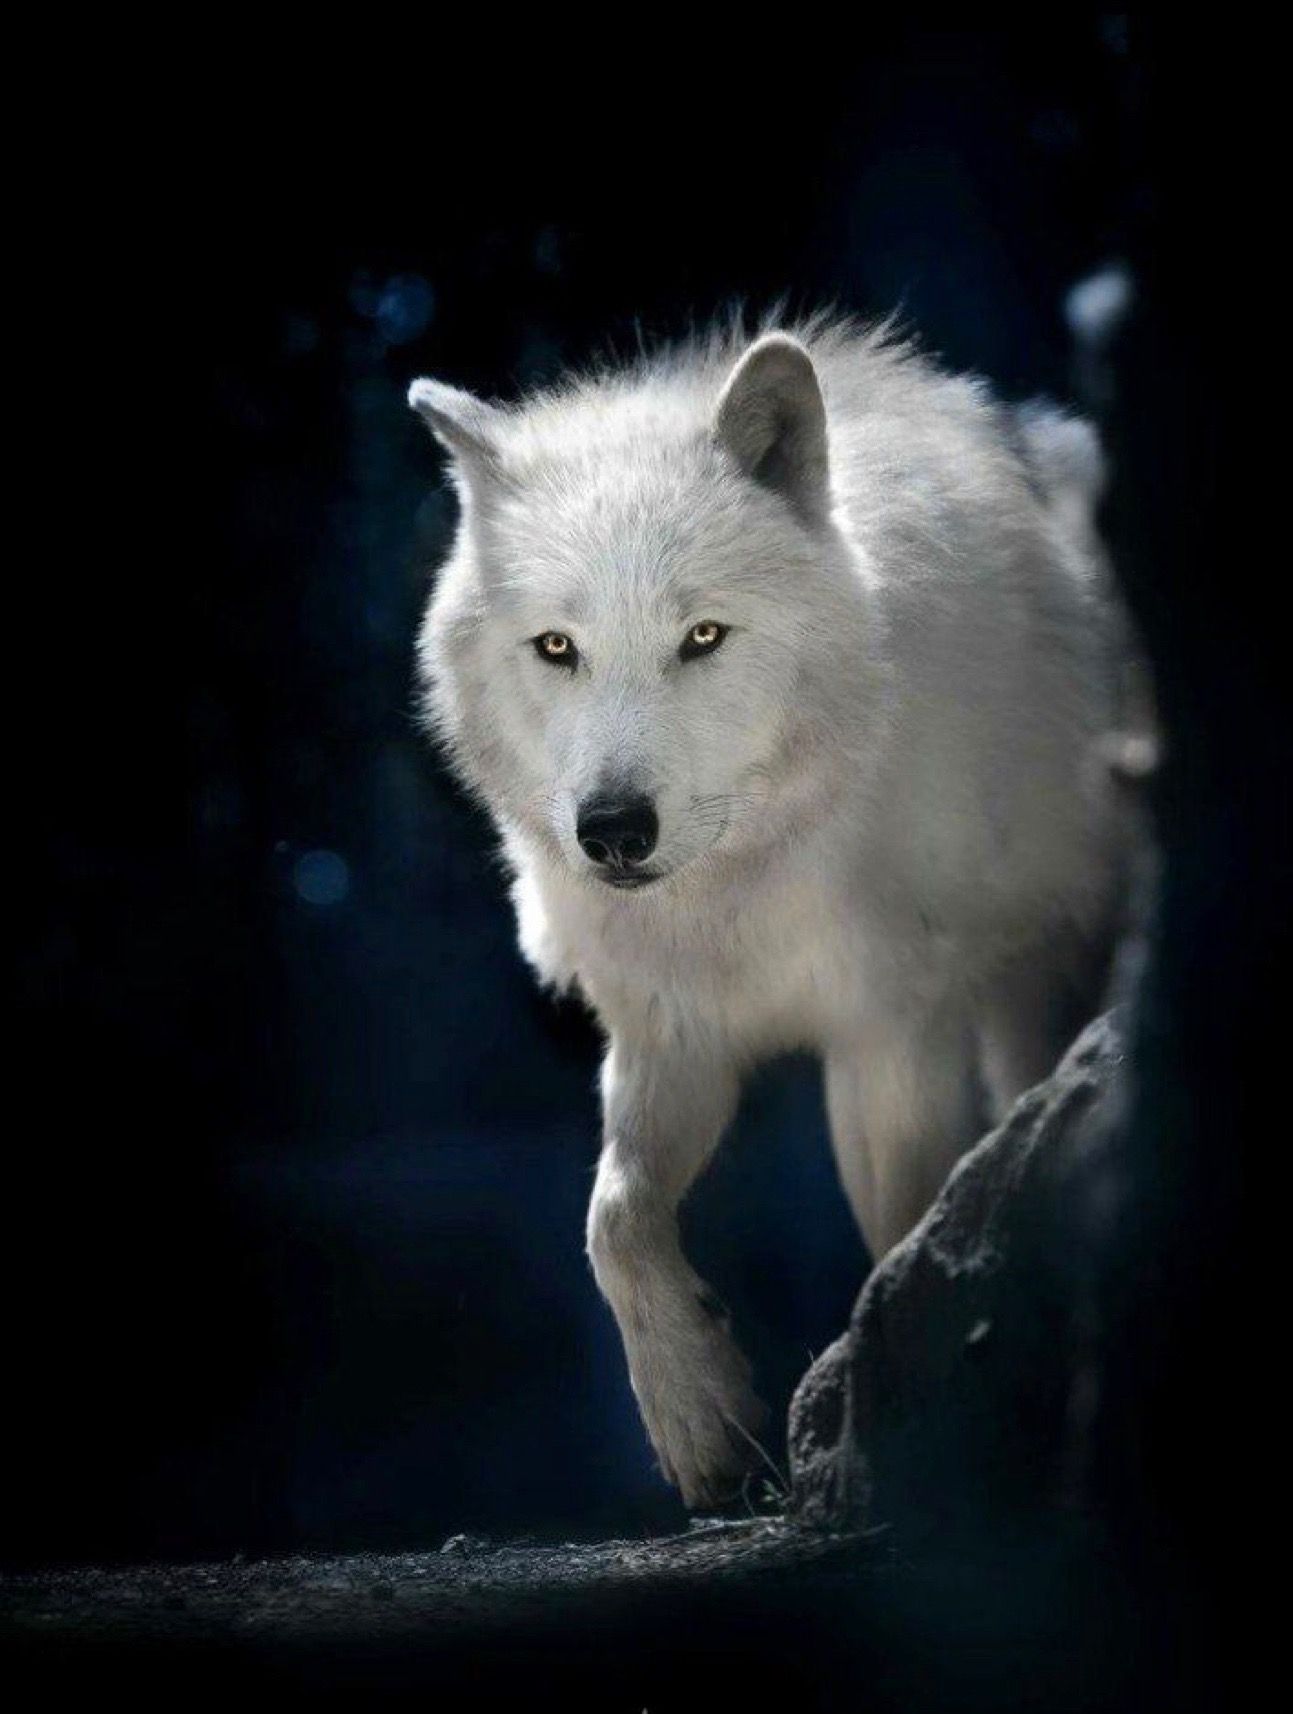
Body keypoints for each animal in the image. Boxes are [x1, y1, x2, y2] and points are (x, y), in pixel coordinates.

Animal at [408, 313, 1143, 1507]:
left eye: (703, 637)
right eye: (558, 647)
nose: (614, 830)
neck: (744, 887)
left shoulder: (891, 1031)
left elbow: (899, 1231)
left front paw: (865, 1413)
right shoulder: (670, 1031)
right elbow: (614, 1220)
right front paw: (699, 1417)